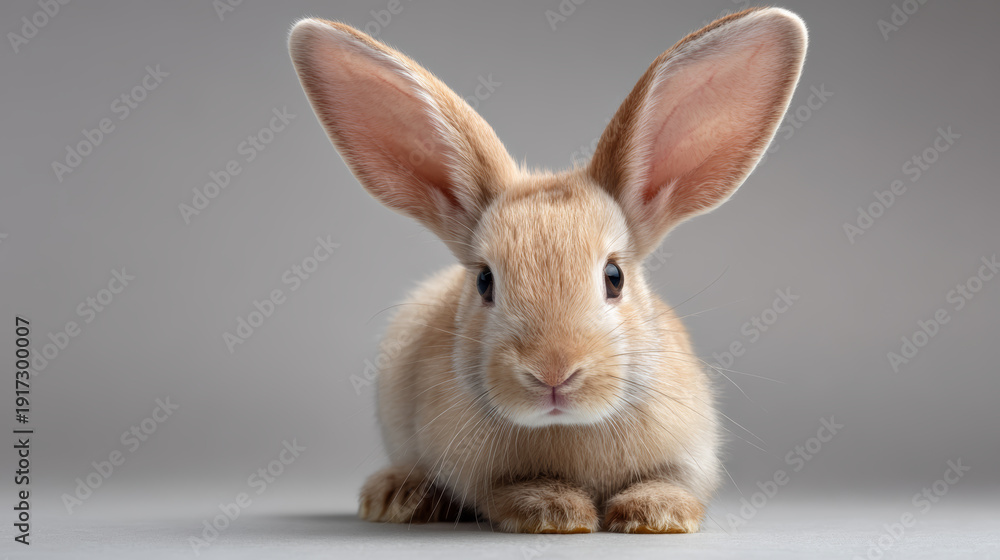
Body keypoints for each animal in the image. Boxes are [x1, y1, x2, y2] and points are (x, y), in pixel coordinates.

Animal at [288, 6, 807, 533]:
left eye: (614, 277)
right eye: (485, 281)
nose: (553, 372)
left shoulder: (690, 454)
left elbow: (672, 483)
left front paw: (656, 515)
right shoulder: (480, 475)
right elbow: (508, 491)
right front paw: (557, 512)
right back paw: (395, 497)